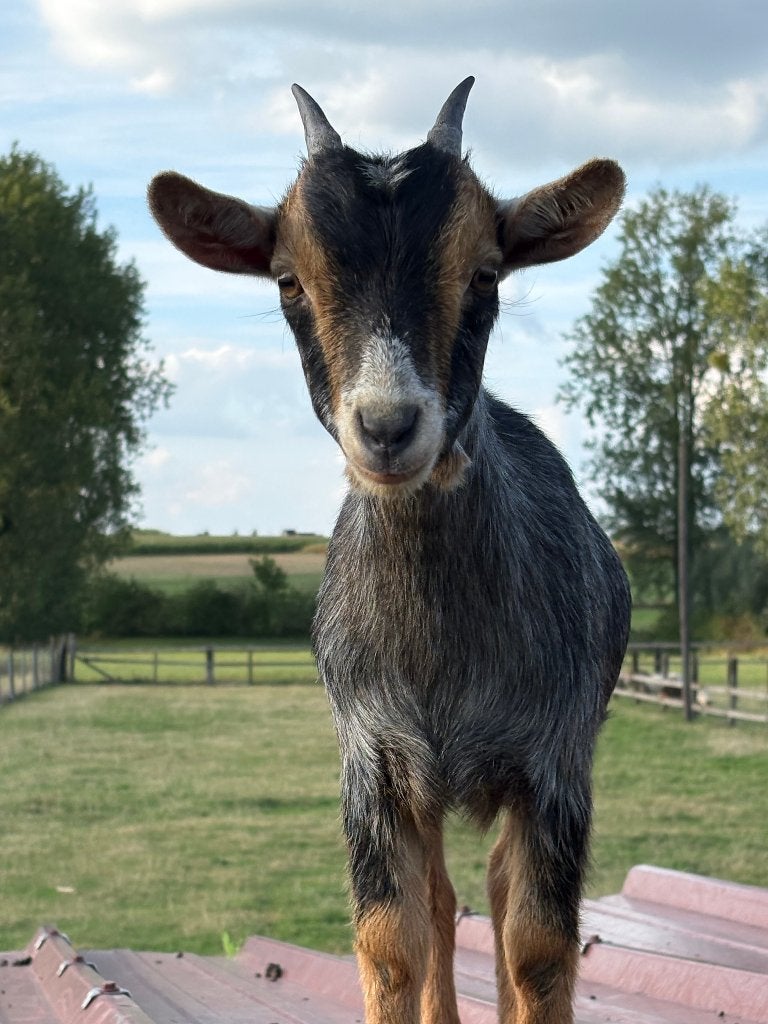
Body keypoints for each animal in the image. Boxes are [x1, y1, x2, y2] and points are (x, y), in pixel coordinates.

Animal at [148, 77, 631, 1024]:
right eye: (289, 280)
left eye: (485, 273)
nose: (387, 425)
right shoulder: (372, 766)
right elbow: (388, 940)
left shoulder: (556, 762)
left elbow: (537, 944)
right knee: (444, 900)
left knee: (497, 893)